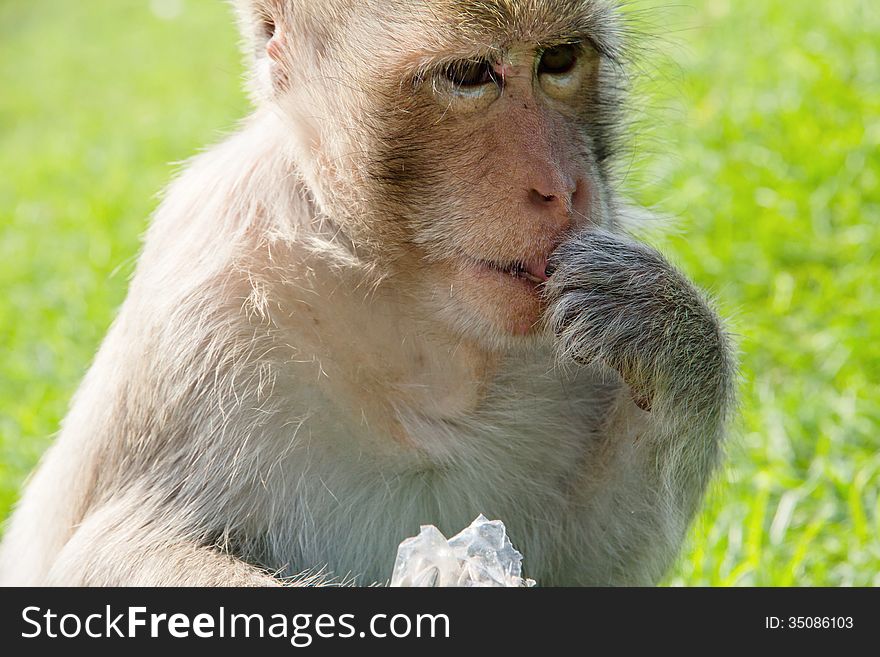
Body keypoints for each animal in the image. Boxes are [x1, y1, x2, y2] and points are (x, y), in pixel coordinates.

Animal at [0, 0, 736, 584]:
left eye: (559, 60)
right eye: (468, 75)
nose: (565, 187)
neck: (412, 319)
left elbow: (580, 566)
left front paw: (668, 329)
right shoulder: (207, 320)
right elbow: (113, 554)